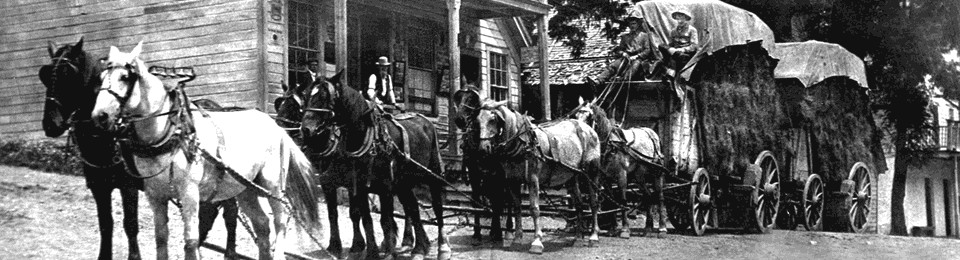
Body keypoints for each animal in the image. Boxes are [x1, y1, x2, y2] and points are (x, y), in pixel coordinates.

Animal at [39, 37, 238, 258]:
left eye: (68, 73)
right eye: (44, 75)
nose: (51, 124)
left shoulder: (129, 186)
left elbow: (130, 224)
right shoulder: (99, 186)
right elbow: (105, 224)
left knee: (230, 215)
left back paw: (229, 251)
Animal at [92, 41, 320, 258]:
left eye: (125, 77)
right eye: (101, 77)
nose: (100, 115)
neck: (170, 133)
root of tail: (277, 127)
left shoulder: (189, 192)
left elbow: (191, 241)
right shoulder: (155, 194)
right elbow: (161, 239)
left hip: (272, 186)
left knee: (279, 223)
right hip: (245, 188)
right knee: (262, 224)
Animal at [300, 71, 450, 260]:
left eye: (325, 97)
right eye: (306, 96)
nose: (306, 130)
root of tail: (425, 121)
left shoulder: (384, 187)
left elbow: (385, 220)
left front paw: (386, 252)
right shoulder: (354, 186)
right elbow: (360, 217)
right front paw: (364, 250)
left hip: (432, 174)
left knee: (437, 207)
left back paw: (442, 247)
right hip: (404, 182)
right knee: (413, 208)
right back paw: (418, 247)